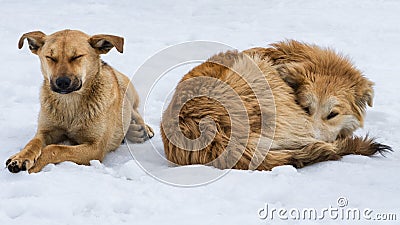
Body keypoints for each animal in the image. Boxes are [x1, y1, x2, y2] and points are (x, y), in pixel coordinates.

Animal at [6, 29, 153, 173]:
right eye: (50, 57)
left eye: (77, 56)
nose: (62, 82)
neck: (70, 102)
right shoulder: (45, 131)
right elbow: (33, 143)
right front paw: (20, 157)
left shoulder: (95, 148)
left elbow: (55, 148)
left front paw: (36, 164)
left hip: (126, 88)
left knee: (135, 111)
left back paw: (141, 130)